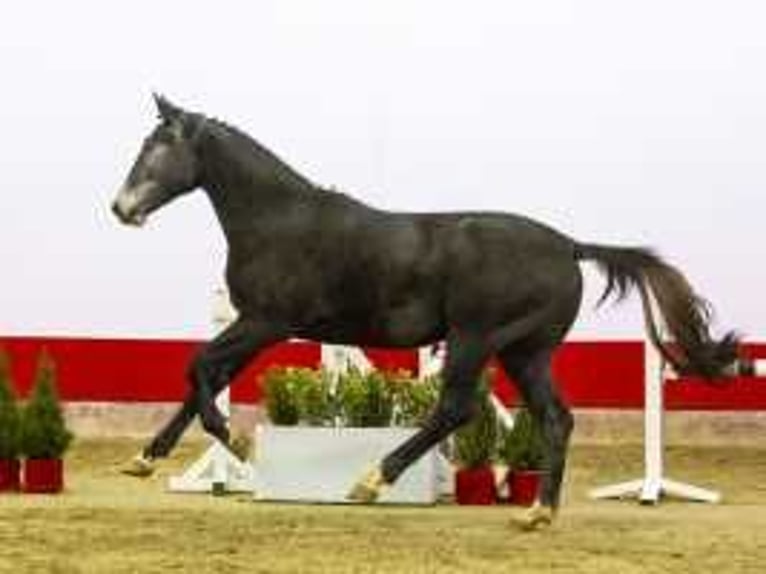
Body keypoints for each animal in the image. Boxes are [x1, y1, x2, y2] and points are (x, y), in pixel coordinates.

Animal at [112, 95, 752, 532]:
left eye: (158, 148)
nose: (121, 208)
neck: (279, 221)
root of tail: (569, 246)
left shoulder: (266, 322)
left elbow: (200, 370)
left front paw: (240, 447)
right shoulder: (256, 325)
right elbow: (203, 376)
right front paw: (144, 458)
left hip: (475, 339)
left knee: (455, 409)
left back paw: (373, 481)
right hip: (525, 352)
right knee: (555, 418)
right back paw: (537, 513)